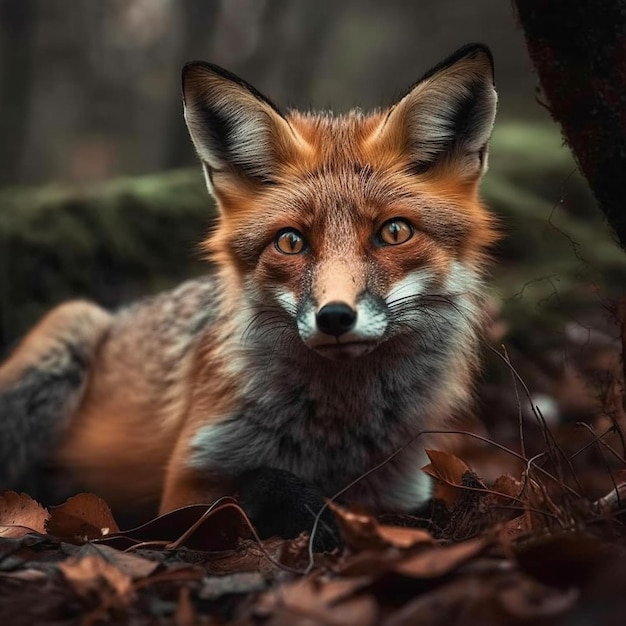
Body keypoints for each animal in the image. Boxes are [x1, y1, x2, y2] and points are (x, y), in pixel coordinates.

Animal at [0, 44, 498, 528]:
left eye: (394, 232)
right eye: (291, 241)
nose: (335, 317)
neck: (334, 440)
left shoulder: (401, 488)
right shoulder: (188, 481)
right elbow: (263, 479)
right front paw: (313, 514)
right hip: (62, 344)